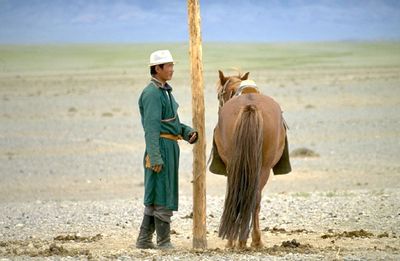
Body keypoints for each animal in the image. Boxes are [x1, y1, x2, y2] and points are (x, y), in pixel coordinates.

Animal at [212, 69, 288, 248]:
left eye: (219, 95)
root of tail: (250, 106)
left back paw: (237, 240)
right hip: (263, 169)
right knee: (255, 199)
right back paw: (252, 239)